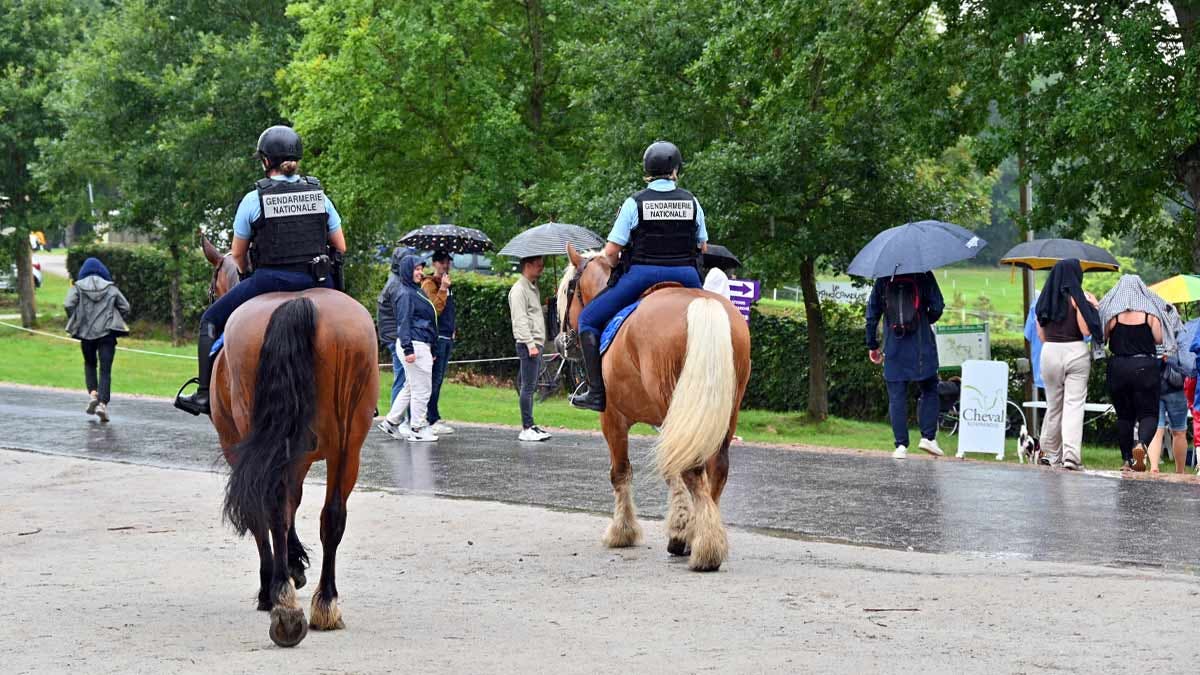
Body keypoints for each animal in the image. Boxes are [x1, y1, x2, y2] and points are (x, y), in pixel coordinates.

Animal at [201, 235, 376, 638]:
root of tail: (299, 303)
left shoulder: (237, 448)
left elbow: (263, 511)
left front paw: (275, 581)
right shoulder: (299, 456)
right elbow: (295, 501)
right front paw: (295, 565)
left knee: (271, 507)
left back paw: (281, 599)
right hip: (347, 446)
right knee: (332, 515)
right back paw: (326, 603)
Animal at [554, 241, 748, 566]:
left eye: (569, 289)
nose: (561, 343)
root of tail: (702, 305)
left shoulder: (613, 417)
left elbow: (620, 472)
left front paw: (623, 531)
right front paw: (682, 528)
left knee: (692, 469)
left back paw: (705, 547)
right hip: (723, 412)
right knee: (716, 468)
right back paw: (704, 535)